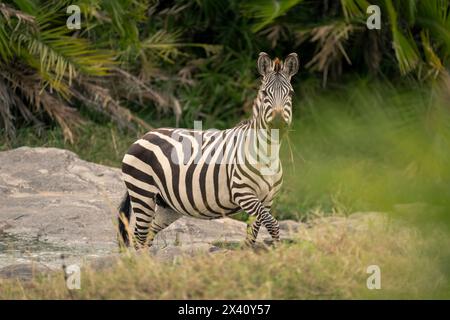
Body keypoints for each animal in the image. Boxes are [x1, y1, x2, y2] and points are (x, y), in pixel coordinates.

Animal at [118, 52, 298, 249]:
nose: (278, 123)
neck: (267, 153)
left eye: (290, 93)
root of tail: (144, 136)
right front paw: (278, 251)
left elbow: (253, 234)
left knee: (147, 235)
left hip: (168, 205)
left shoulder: (266, 199)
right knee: (139, 236)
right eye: (265, 93)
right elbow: (272, 224)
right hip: (143, 192)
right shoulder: (243, 193)